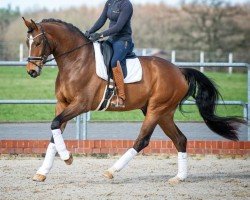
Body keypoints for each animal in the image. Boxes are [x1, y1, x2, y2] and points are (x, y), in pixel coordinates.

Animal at [22, 18, 243, 184]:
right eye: (27, 43)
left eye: (38, 43)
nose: (31, 71)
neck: (76, 61)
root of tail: (179, 70)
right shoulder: (63, 104)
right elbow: (54, 131)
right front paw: (42, 172)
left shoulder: (80, 105)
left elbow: (55, 124)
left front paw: (68, 158)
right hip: (163, 113)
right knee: (180, 139)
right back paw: (179, 177)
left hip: (156, 110)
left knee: (142, 140)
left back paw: (111, 171)